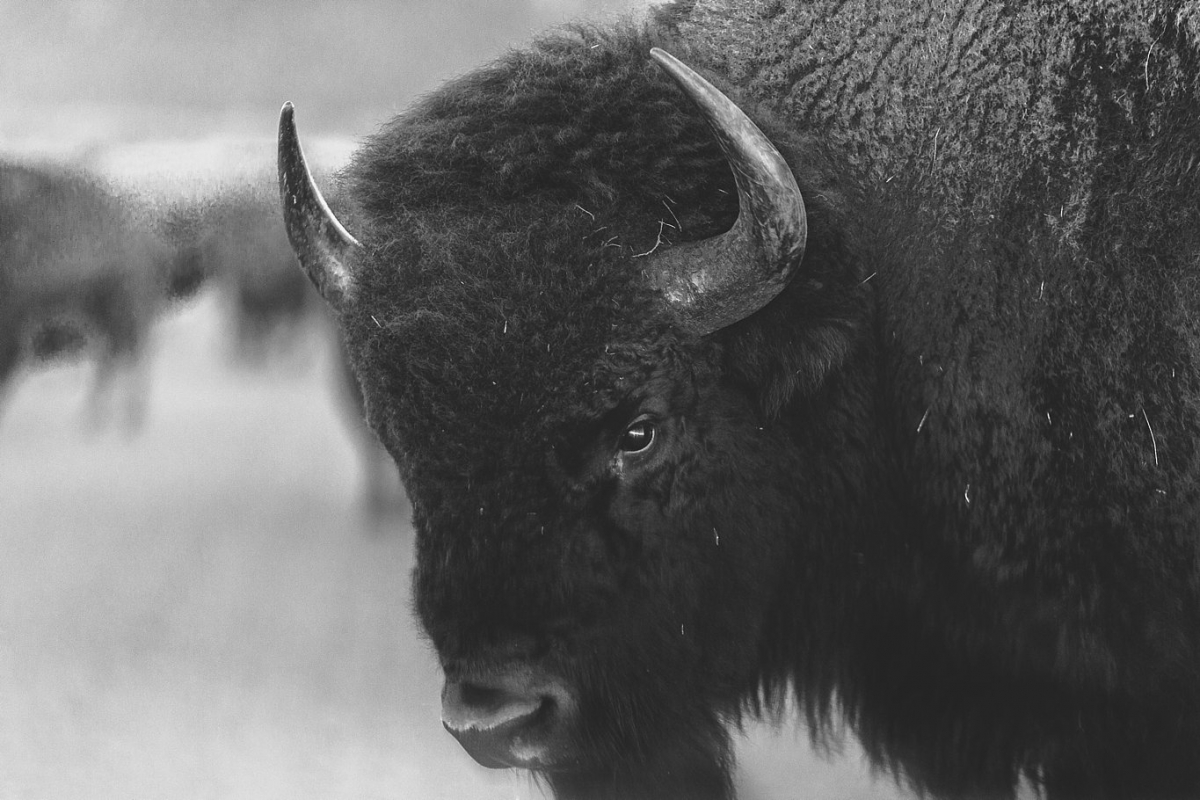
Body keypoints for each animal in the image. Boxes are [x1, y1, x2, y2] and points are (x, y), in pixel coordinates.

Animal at [0, 158, 204, 429]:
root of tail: (156, 245)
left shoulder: (14, 308)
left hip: (122, 309)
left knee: (132, 358)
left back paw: (126, 419)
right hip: (99, 312)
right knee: (113, 359)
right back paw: (99, 419)